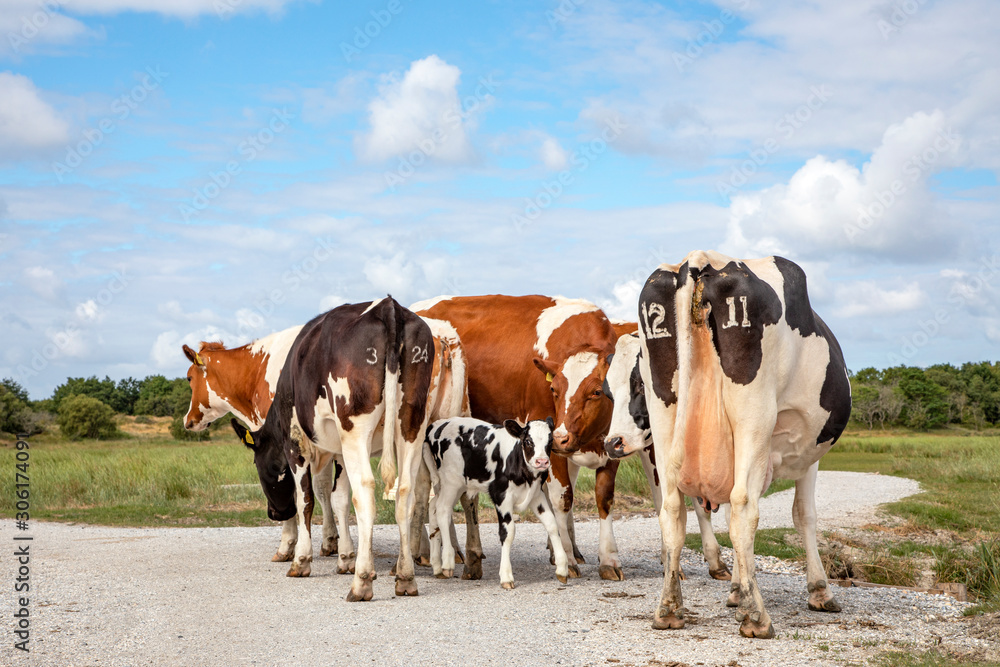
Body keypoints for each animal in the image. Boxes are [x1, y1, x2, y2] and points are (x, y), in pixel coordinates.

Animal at [230, 298, 434, 600]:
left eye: (260, 466)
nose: (274, 514)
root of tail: (389, 306)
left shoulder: (296, 445)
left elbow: (306, 500)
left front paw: (301, 560)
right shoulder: (339, 451)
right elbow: (339, 500)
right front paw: (346, 558)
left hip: (356, 427)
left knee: (365, 492)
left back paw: (362, 582)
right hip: (412, 423)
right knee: (405, 493)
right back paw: (405, 577)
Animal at [420, 418, 568, 588]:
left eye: (550, 441)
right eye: (528, 441)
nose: (542, 461)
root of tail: (437, 424)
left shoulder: (536, 495)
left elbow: (552, 525)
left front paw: (562, 569)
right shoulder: (500, 495)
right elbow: (508, 533)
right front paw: (506, 576)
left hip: (453, 484)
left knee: (433, 506)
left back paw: (437, 565)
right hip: (451, 482)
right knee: (443, 510)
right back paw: (447, 561)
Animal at [628, 253, 848, 640]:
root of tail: (700, 260)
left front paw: (735, 591)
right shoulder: (807, 456)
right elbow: (803, 515)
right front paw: (820, 591)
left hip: (663, 408)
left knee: (672, 510)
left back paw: (669, 609)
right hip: (754, 413)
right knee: (745, 507)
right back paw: (756, 617)